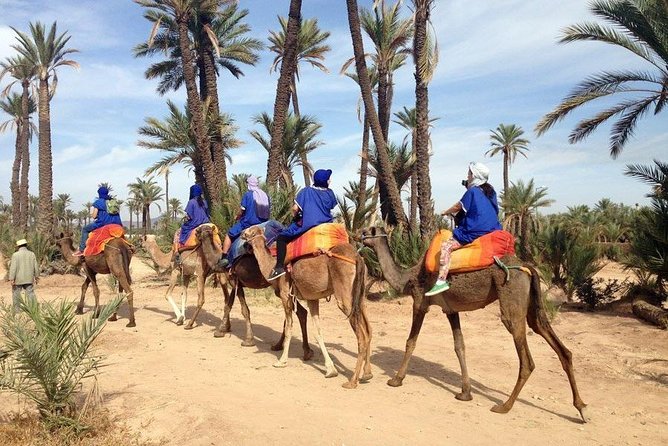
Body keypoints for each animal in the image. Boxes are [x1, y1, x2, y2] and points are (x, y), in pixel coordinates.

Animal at [198, 225, 314, 358]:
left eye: (199, 230)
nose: (195, 233)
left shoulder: (234, 281)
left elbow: (244, 310)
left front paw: (247, 340)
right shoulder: (236, 283)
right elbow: (228, 306)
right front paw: (223, 329)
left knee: (297, 312)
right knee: (301, 312)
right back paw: (300, 350)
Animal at [243, 225, 374, 388]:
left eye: (250, 231)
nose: (241, 233)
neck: (271, 267)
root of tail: (357, 258)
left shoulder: (286, 295)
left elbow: (289, 328)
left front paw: (281, 361)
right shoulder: (313, 298)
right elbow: (317, 332)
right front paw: (330, 369)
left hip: (344, 293)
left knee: (361, 335)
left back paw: (352, 381)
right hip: (359, 295)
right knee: (368, 330)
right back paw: (367, 373)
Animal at [360, 226, 584, 422]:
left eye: (366, 232)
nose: (356, 235)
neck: (408, 277)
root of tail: (526, 267)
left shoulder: (420, 302)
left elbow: (411, 342)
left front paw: (396, 380)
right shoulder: (450, 309)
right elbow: (459, 346)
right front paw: (465, 393)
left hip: (511, 295)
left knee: (525, 356)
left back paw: (504, 406)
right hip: (532, 303)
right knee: (551, 338)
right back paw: (581, 408)